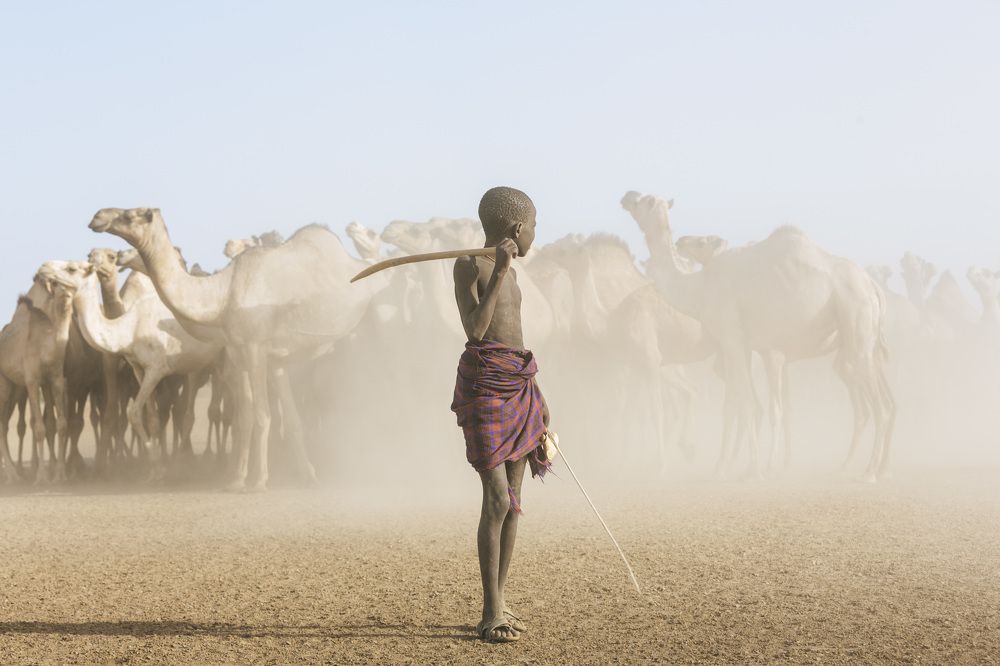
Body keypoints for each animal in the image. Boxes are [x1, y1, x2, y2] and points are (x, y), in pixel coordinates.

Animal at [90, 208, 388, 490]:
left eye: (132, 214)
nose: (97, 217)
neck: (223, 293)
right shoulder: (253, 355)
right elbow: (260, 416)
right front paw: (254, 478)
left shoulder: (255, 347)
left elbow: (262, 414)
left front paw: (259, 481)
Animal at [622, 191, 895, 481]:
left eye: (643, 201)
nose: (626, 195)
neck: (700, 287)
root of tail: (872, 287)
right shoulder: (747, 346)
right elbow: (748, 405)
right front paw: (737, 466)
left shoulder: (732, 336)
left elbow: (747, 405)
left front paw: (753, 469)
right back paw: (872, 468)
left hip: (858, 319)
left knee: (880, 407)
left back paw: (869, 472)